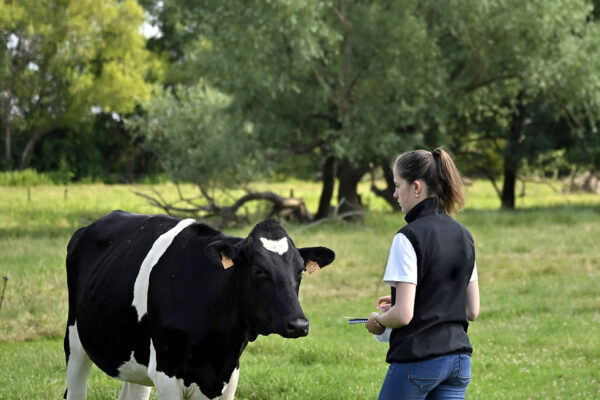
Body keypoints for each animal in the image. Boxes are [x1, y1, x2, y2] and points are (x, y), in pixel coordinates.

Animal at [63, 211, 336, 398]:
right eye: (258, 270)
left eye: (300, 271)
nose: (298, 324)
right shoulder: (166, 373)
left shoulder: (228, 376)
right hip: (75, 341)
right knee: (74, 390)